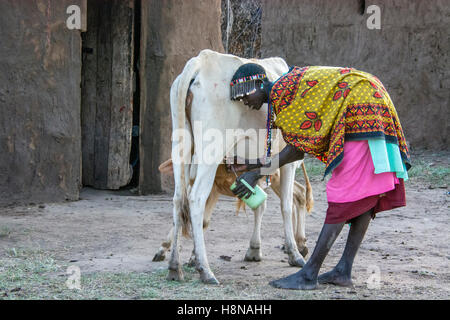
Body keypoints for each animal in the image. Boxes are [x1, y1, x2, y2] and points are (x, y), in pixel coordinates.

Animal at [160, 48, 314, 284]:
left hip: (180, 146)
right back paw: (205, 269)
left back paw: (175, 266)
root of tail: (202, 61)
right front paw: (294, 253)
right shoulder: (288, 162)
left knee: (179, 199)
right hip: (210, 151)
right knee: (195, 198)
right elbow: (286, 206)